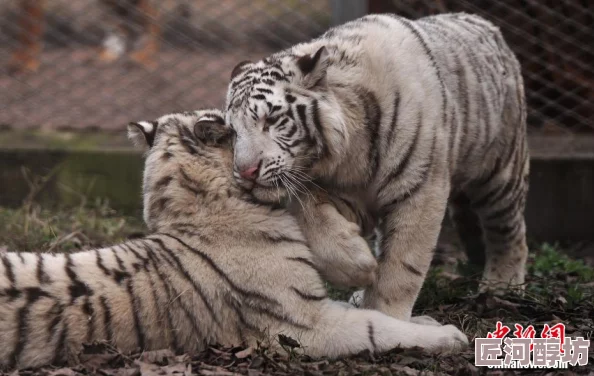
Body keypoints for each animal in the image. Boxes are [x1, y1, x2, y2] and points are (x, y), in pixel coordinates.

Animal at [0, 110, 468, 368]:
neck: (199, 208)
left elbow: (376, 313)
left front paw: (427, 321)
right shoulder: (306, 323)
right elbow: (377, 327)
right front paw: (448, 337)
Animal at [223, 13, 528, 322]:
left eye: (271, 121)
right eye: (233, 131)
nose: (246, 172)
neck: (348, 154)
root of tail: (487, 25)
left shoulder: (420, 191)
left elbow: (402, 265)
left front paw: (387, 316)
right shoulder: (345, 193)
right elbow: (310, 215)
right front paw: (357, 267)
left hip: (500, 174)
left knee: (509, 231)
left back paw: (501, 284)